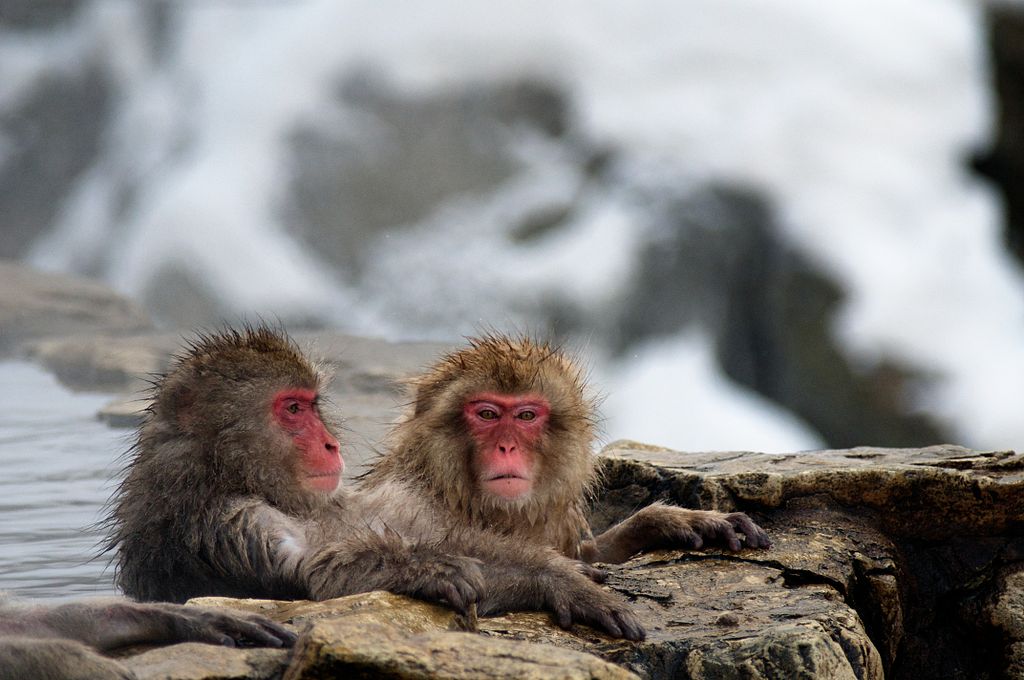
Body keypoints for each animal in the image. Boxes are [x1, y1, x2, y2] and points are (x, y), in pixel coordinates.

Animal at [105, 327, 647, 639]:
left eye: (311, 404)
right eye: (293, 409)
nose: (329, 444)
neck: (221, 475)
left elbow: (428, 529)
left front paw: (558, 572)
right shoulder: (221, 522)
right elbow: (317, 575)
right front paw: (437, 572)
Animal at [360, 333, 770, 561]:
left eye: (526, 415)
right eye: (488, 414)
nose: (507, 447)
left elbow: (591, 557)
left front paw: (669, 522)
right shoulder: (408, 507)